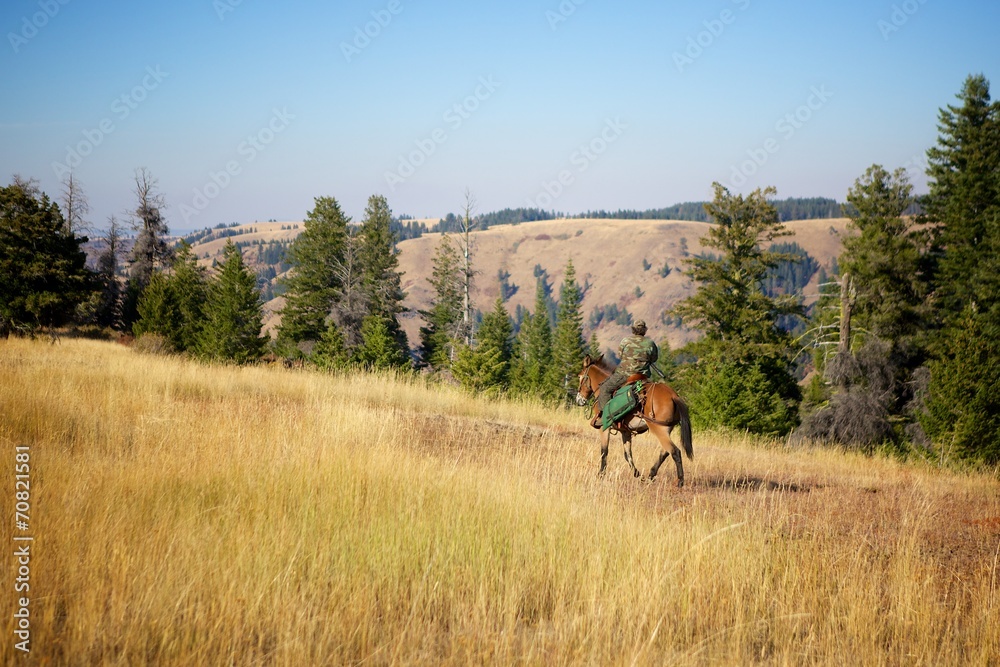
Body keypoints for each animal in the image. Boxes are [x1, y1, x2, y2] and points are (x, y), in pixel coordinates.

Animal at [576, 354, 692, 486]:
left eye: (579, 376)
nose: (579, 400)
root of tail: (673, 395)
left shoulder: (603, 428)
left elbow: (604, 452)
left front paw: (601, 474)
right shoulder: (625, 431)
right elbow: (628, 454)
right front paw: (637, 474)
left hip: (658, 429)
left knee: (675, 451)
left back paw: (680, 481)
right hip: (666, 430)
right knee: (665, 452)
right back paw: (651, 475)